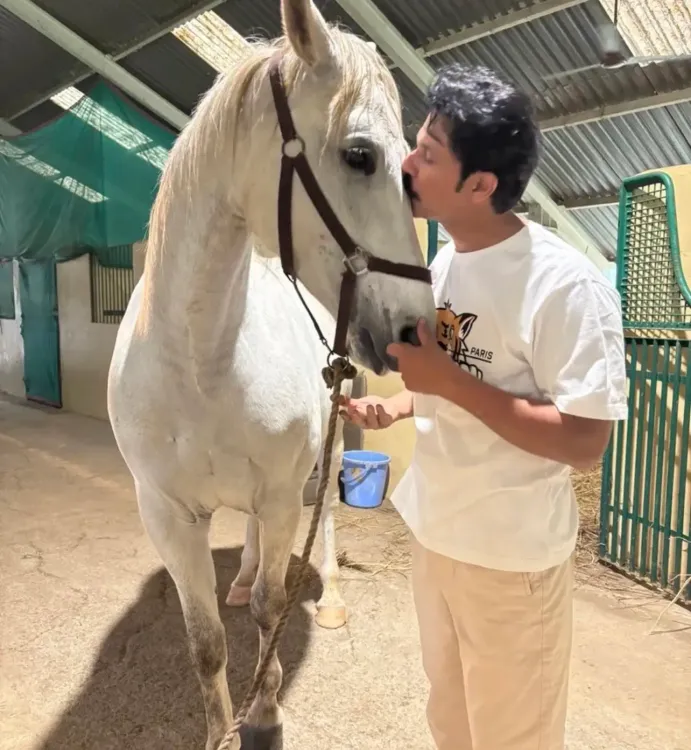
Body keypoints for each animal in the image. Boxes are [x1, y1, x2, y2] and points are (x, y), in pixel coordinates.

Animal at [107, 0, 436, 747]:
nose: (417, 329)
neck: (200, 358)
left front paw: (263, 710)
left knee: (322, 526)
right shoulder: (164, 512)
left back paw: (330, 601)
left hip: (326, 454)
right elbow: (204, 640)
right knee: (252, 546)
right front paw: (220, 728)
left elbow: (269, 608)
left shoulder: (285, 493)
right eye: (360, 155)